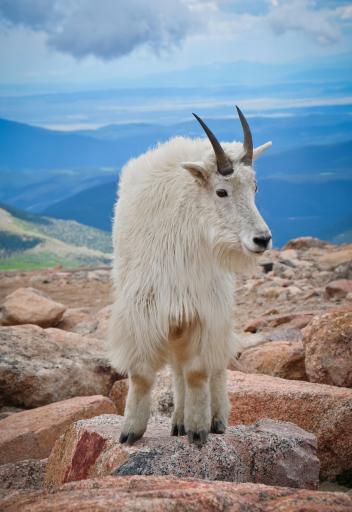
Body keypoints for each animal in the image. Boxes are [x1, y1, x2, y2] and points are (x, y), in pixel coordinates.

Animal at [107, 107, 272, 444]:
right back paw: (178, 422)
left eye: (255, 188)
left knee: (213, 364)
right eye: (221, 191)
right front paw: (130, 431)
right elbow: (142, 374)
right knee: (176, 367)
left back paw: (213, 419)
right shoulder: (146, 310)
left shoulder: (203, 312)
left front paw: (199, 429)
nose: (262, 239)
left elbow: (198, 370)